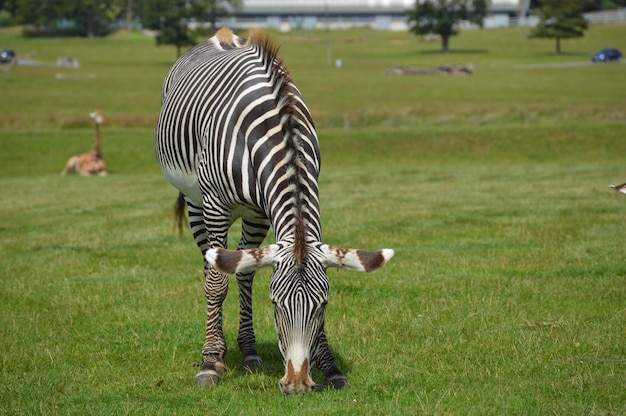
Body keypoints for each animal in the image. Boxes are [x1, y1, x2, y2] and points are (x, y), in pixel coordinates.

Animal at [154, 28, 392, 394]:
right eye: (276, 304)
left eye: (323, 305)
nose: (296, 383)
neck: (280, 137)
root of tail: (222, 35)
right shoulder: (216, 206)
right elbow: (217, 283)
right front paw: (211, 363)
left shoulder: (261, 213)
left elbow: (246, 272)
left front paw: (329, 365)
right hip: (195, 202)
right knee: (210, 270)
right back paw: (215, 349)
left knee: (244, 270)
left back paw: (249, 352)